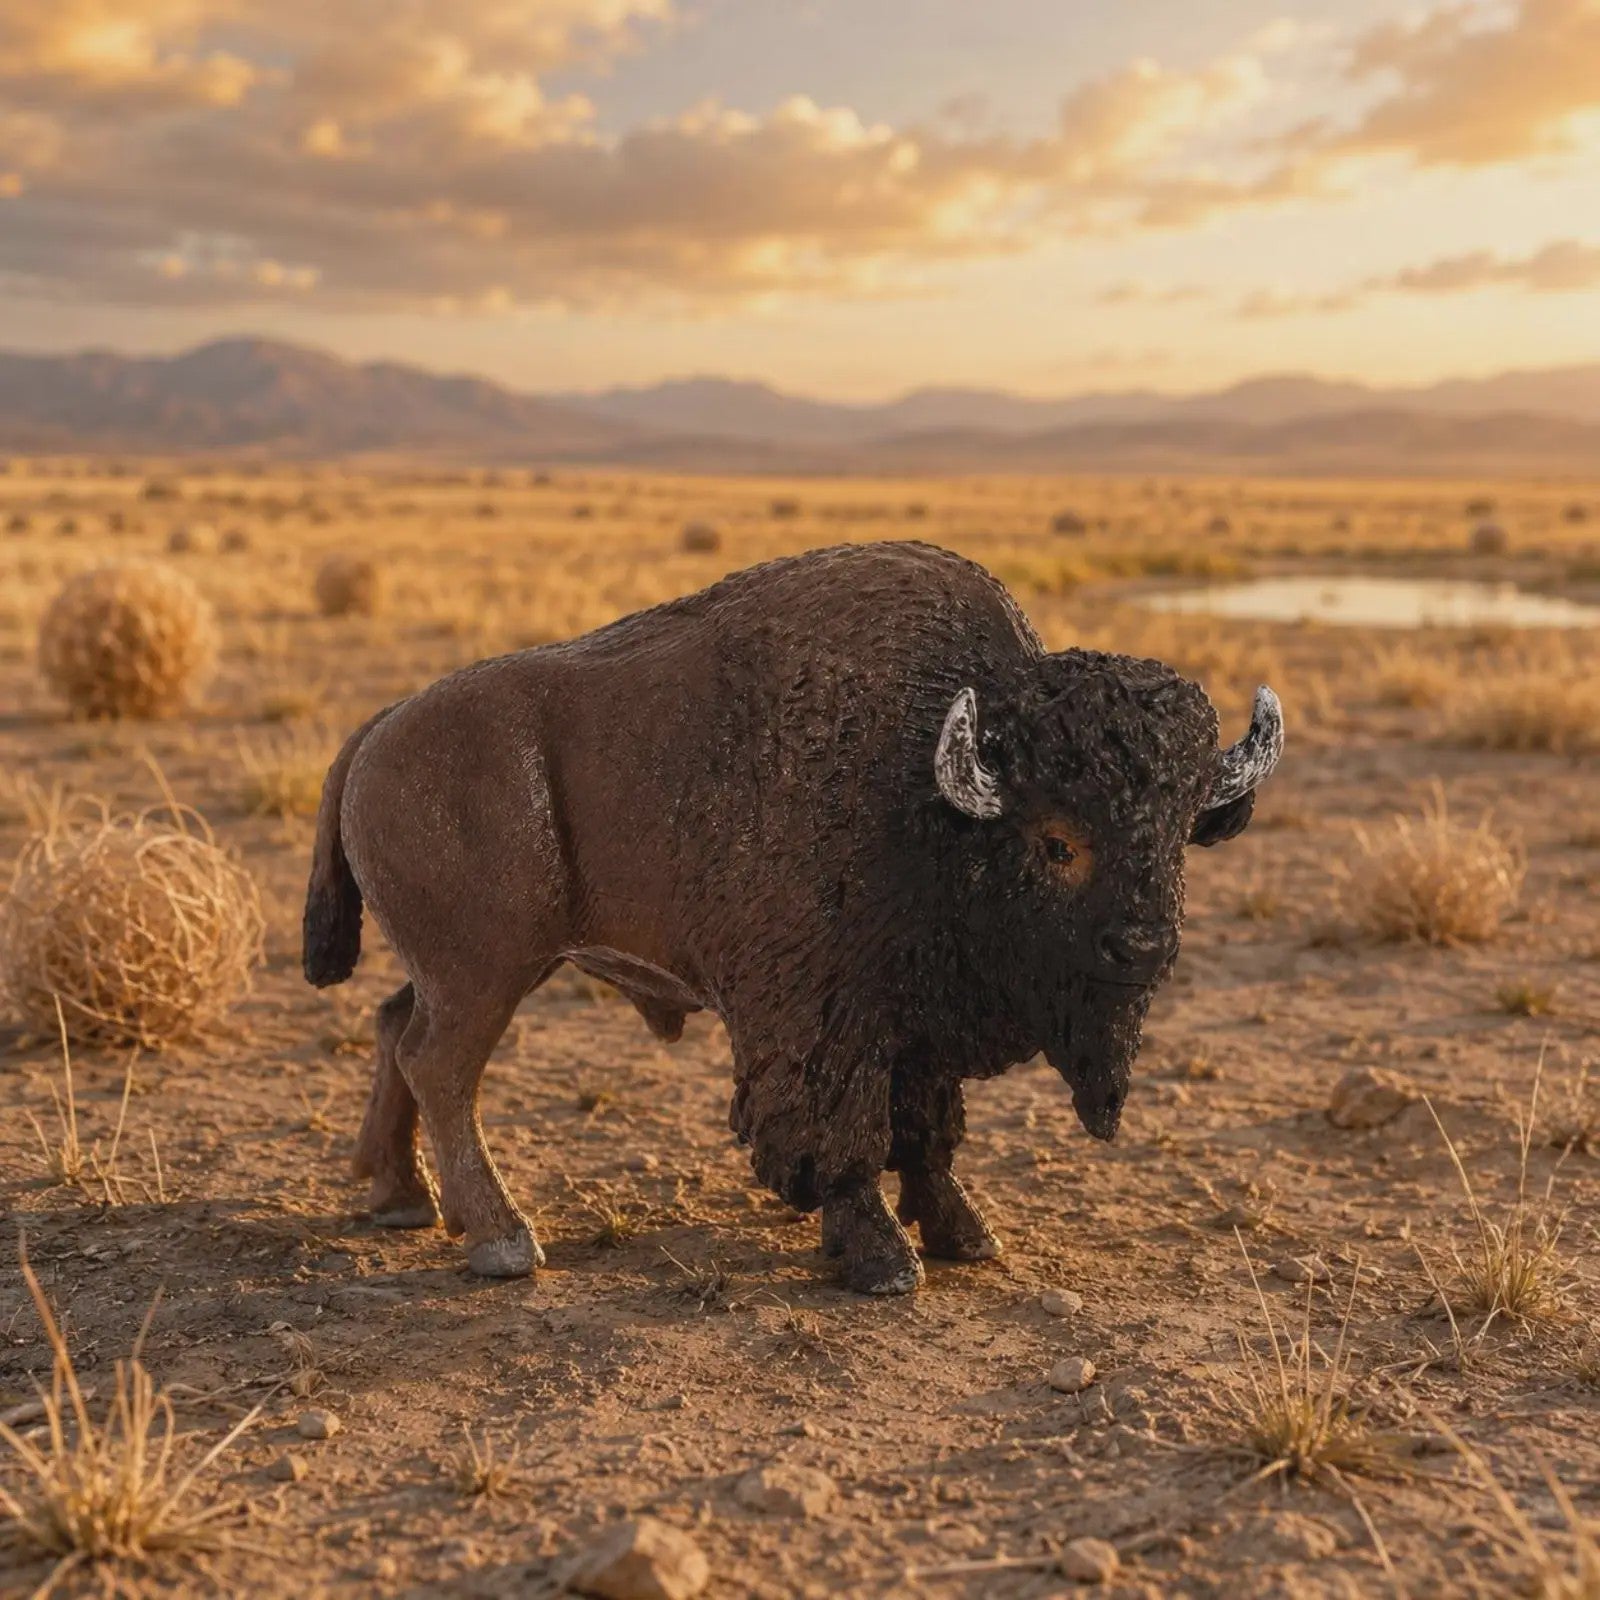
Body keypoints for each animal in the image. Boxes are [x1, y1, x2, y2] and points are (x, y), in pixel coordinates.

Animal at [304, 541, 1282, 1293]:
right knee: (441, 1069)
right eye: (1057, 842)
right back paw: (505, 1241)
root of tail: (379, 729)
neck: (933, 790)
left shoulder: (918, 1023)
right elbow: (847, 1135)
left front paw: (966, 1236)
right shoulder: (828, 1021)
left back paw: (400, 1200)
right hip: (485, 972)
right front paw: (882, 1262)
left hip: (472, 967)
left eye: (1182, 832)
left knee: (393, 1026)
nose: (1142, 945)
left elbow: (928, 1135)